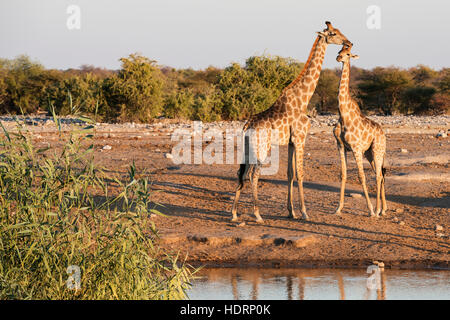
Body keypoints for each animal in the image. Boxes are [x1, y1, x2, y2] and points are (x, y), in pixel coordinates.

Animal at [232, 21, 352, 222]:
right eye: (333, 33)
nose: (349, 42)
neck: (303, 98)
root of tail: (246, 126)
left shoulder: (290, 142)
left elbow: (290, 173)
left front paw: (291, 212)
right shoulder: (300, 138)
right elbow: (301, 174)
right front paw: (304, 212)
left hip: (248, 147)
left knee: (241, 172)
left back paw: (234, 213)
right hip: (262, 148)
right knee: (253, 174)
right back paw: (257, 214)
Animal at [332, 43, 388, 218]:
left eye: (348, 54)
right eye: (339, 51)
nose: (338, 58)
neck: (343, 114)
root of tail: (383, 134)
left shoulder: (356, 148)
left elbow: (361, 176)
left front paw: (370, 210)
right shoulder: (340, 146)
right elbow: (343, 174)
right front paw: (338, 208)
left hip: (377, 149)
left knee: (378, 175)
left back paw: (377, 210)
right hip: (369, 153)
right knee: (380, 174)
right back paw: (383, 209)